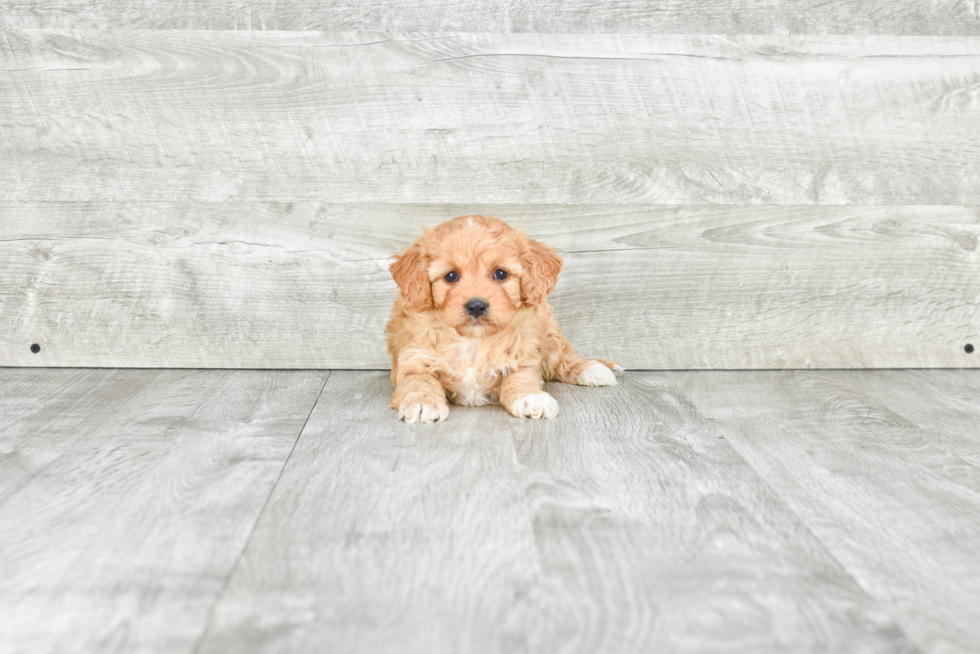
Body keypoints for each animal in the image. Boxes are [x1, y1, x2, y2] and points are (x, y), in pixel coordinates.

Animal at [384, 217, 620, 426]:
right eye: (451, 276)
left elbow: (520, 378)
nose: (476, 306)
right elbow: (420, 380)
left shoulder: (525, 355)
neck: (473, 340)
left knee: (560, 357)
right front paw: (422, 402)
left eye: (500, 273)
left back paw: (592, 369)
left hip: (548, 330)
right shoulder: (412, 359)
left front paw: (530, 397)